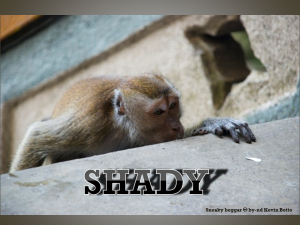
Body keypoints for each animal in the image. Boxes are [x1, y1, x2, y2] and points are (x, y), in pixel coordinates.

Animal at [10, 73, 256, 171]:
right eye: (159, 112)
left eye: (173, 106)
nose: (176, 126)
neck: (120, 125)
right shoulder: (88, 126)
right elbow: (36, 137)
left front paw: (213, 122)